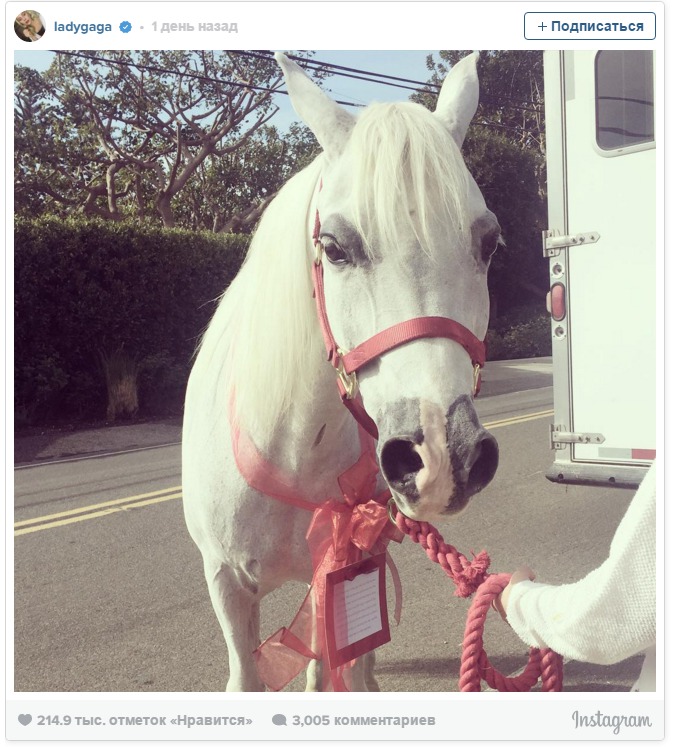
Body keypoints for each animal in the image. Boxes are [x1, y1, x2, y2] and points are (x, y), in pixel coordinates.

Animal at [182, 51, 501, 692]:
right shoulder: (226, 584)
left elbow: (345, 667)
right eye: (333, 247)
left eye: (490, 245)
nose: (444, 456)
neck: (289, 449)